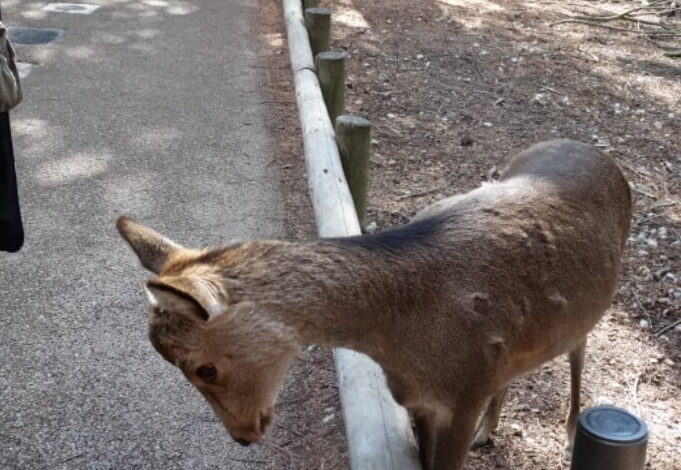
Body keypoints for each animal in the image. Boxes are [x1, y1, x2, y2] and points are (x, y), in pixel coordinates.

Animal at [116, 139, 632, 470]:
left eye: (205, 368)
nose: (243, 437)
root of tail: (606, 159)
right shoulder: (424, 398)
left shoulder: (462, 397)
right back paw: (490, 432)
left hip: (594, 309)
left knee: (579, 349)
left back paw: (570, 433)